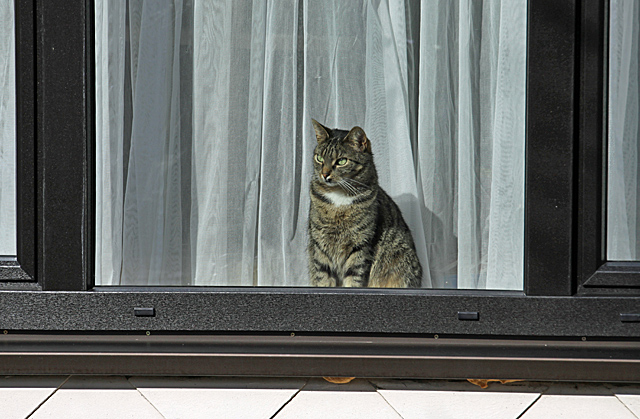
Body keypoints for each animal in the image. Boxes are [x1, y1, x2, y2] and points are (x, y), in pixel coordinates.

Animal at [308, 120, 422, 288]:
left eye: (341, 161)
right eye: (320, 158)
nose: (324, 174)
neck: (339, 197)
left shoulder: (360, 245)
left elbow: (354, 278)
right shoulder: (319, 245)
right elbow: (323, 278)